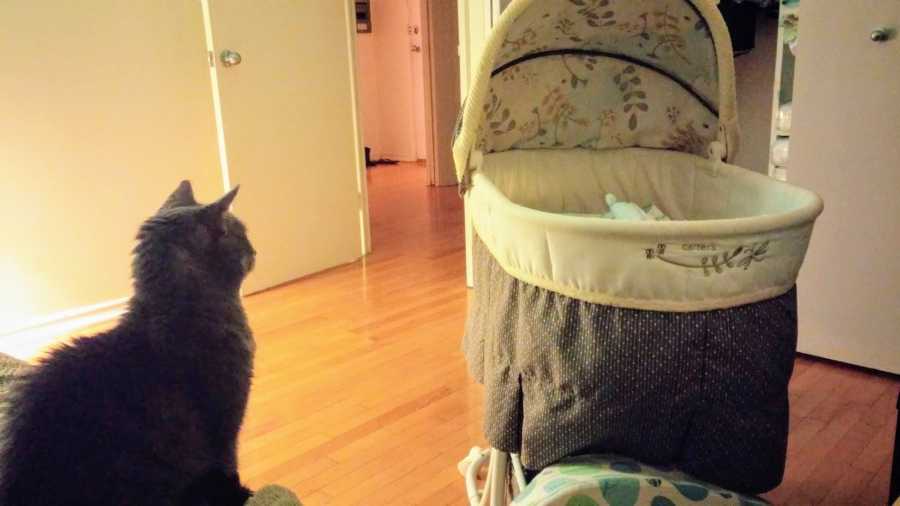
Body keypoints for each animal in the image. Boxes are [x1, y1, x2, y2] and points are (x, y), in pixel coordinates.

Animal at [0, 182, 260, 506]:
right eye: (241, 234)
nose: (255, 250)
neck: (177, 310)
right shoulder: (224, 425)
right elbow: (228, 466)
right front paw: (243, 494)